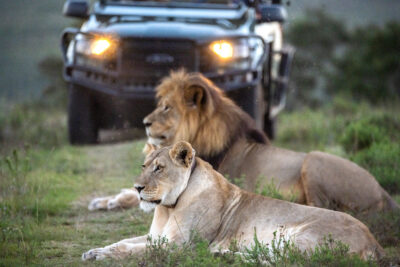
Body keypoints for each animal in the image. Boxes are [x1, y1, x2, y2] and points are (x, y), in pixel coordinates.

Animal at [82, 142, 384, 262]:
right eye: (144, 166)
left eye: (159, 168)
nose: (137, 188)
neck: (168, 208)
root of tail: (375, 242)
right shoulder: (159, 237)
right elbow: (123, 242)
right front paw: (94, 250)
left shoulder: (179, 246)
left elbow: (131, 251)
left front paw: (100, 256)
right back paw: (222, 255)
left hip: (297, 236)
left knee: (285, 260)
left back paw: (223, 255)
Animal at [89, 70, 398, 214]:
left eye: (166, 108)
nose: (144, 122)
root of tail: (385, 192)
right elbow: (132, 191)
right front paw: (104, 199)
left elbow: (143, 195)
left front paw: (113, 201)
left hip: (314, 159)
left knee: (322, 206)